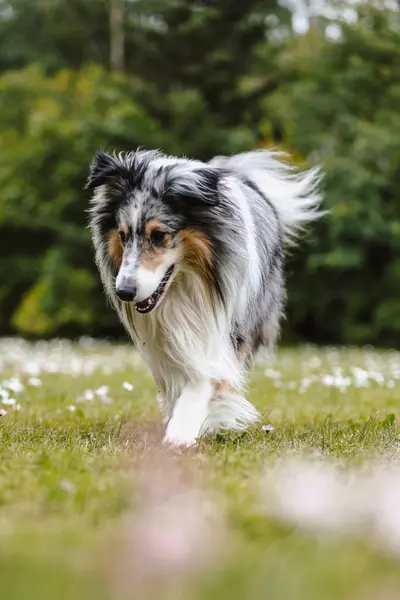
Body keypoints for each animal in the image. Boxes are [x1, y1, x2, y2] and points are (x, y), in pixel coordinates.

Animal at [87, 149, 322, 446]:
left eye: (159, 235)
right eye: (123, 235)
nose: (124, 292)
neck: (185, 283)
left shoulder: (224, 331)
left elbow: (205, 377)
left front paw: (181, 432)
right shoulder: (163, 343)